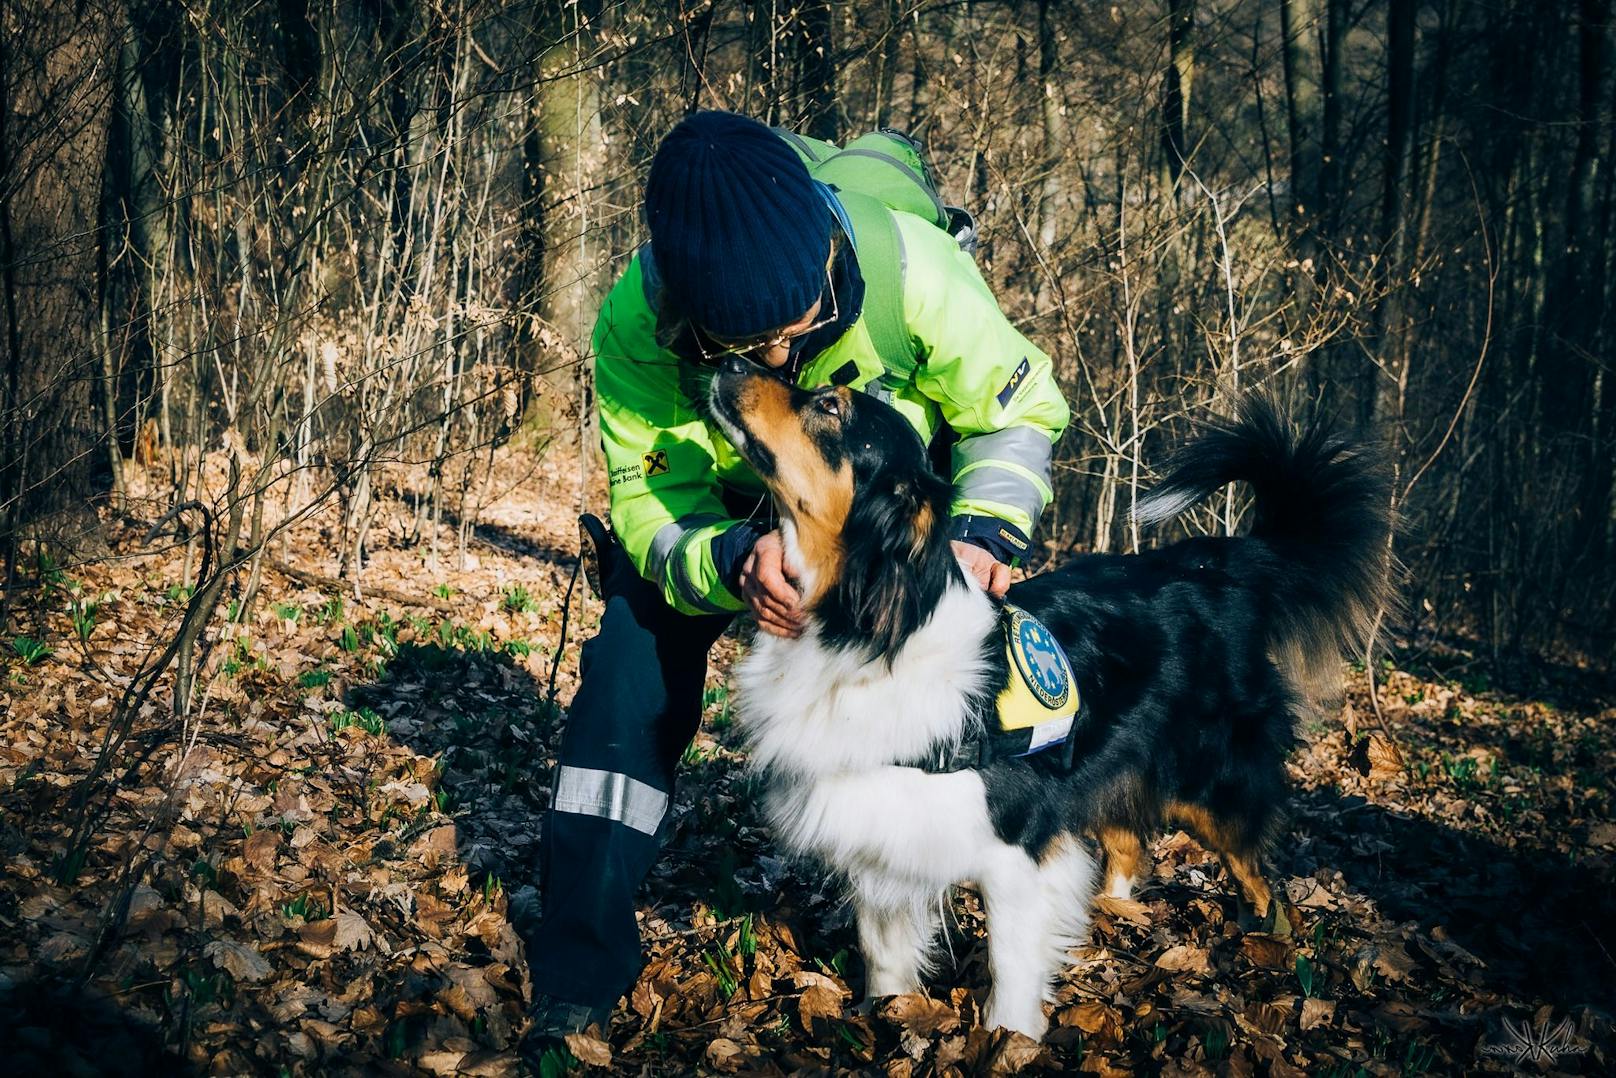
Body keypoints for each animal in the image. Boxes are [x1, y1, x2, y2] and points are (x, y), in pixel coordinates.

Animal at [707, 358, 1389, 1040]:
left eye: (829, 406)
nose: (728, 364)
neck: (870, 627)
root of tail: (1220, 568)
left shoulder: (1015, 850)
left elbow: (1009, 970)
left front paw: (1009, 1041)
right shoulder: (883, 837)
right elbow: (884, 957)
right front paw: (887, 1022)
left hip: (1213, 789)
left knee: (1263, 885)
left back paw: (1275, 954)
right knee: (1127, 847)